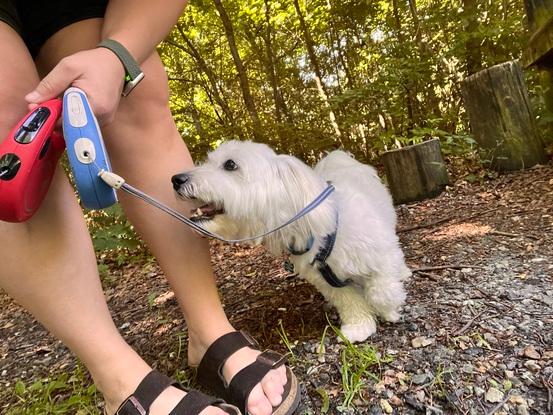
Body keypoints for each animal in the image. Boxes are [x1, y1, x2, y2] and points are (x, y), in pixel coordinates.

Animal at [172, 141, 410, 342]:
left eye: (230, 164)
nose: (176, 179)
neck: (320, 233)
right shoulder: (326, 281)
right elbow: (349, 301)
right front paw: (359, 326)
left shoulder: (381, 255)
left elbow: (381, 291)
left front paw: (389, 310)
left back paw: (403, 272)